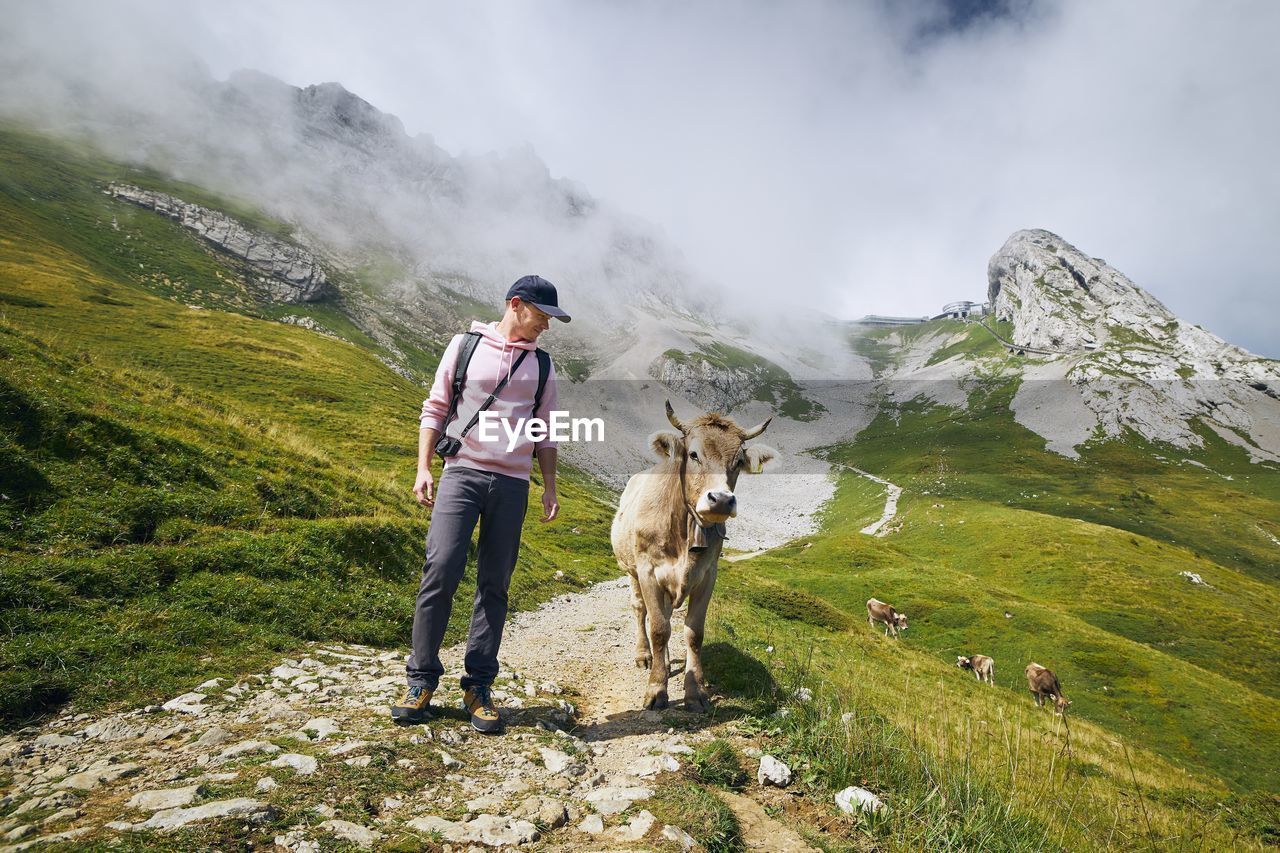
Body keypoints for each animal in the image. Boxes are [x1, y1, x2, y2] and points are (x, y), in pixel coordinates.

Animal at [606, 402, 773, 706]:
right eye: (694, 454)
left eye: (738, 462)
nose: (721, 500)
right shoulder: (649, 572)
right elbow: (658, 629)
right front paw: (656, 689)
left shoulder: (707, 575)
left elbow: (693, 632)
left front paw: (695, 691)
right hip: (631, 570)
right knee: (640, 610)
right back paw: (644, 655)